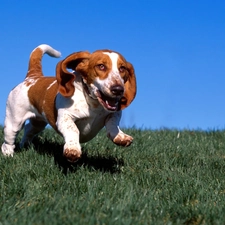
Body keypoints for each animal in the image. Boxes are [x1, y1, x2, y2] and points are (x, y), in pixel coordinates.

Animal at [1, 44, 137, 162]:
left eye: (122, 68)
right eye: (101, 66)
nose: (118, 89)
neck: (93, 104)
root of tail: (33, 77)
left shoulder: (114, 113)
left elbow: (113, 124)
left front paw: (121, 137)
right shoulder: (65, 118)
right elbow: (73, 129)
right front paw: (72, 149)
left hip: (38, 123)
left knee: (29, 129)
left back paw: (26, 145)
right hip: (14, 121)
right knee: (8, 140)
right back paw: (8, 154)